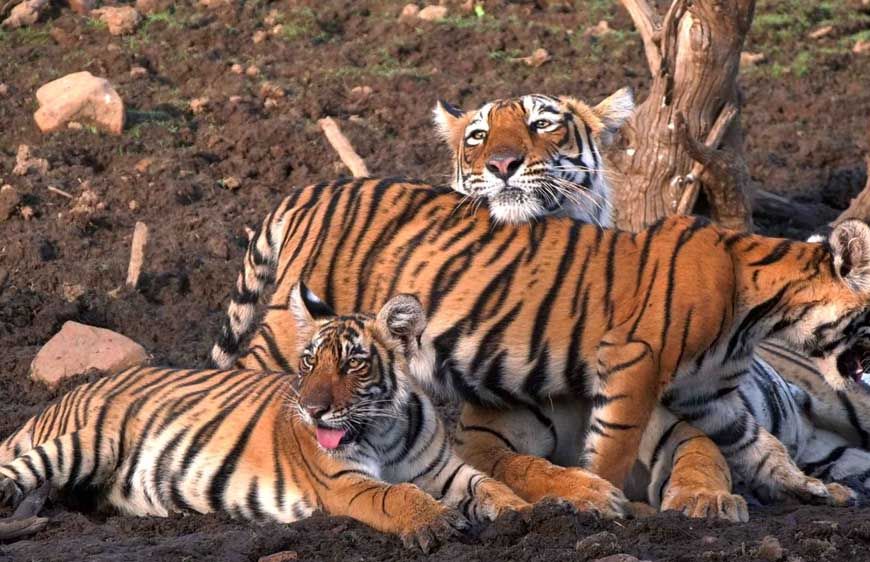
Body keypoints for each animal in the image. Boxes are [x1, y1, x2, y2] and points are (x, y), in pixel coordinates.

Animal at [0, 284, 528, 552]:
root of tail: (69, 393)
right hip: (88, 441)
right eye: (309, 362)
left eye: (353, 364)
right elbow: (396, 494)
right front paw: (435, 522)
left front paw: (527, 513)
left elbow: (488, 485)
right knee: (17, 472)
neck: (384, 429)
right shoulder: (344, 483)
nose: (313, 410)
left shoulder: (444, 469)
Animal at [207, 170, 870, 521]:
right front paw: (608, 504)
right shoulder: (633, 363)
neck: (761, 312)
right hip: (286, 336)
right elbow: (610, 451)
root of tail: (312, 188)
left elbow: (760, 445)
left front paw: (808, 488)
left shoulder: (710, 396)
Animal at [430, 91, 870, 504]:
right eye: (478, 136)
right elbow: (523, 467)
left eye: (541, 124)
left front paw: (703, 498)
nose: (502, 164)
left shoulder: (660, 413)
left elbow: (698, 453)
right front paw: (585, 493)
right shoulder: (480, 437)